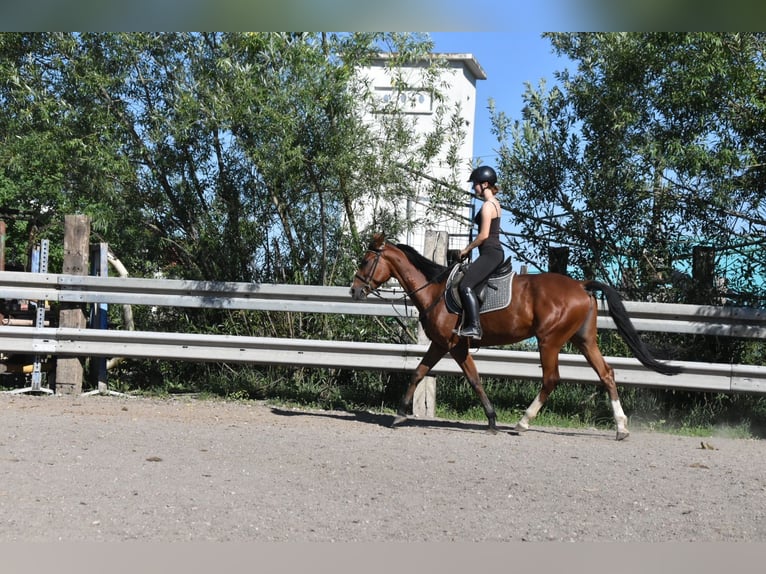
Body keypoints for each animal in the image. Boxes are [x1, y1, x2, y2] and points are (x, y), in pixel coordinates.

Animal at [349, 232, 681, 440]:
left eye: (365, 261)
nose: (354, 291)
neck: (435, 291)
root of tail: (581, 285)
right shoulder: (441, 344)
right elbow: (420, 372)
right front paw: (401, 414)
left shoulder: (453, 345)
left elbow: (469, 378)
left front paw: (492, 419)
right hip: (584, 340)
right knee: (606, 374)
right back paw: (621, 428)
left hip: (549, 340)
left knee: (551, 379)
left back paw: (523, 421)